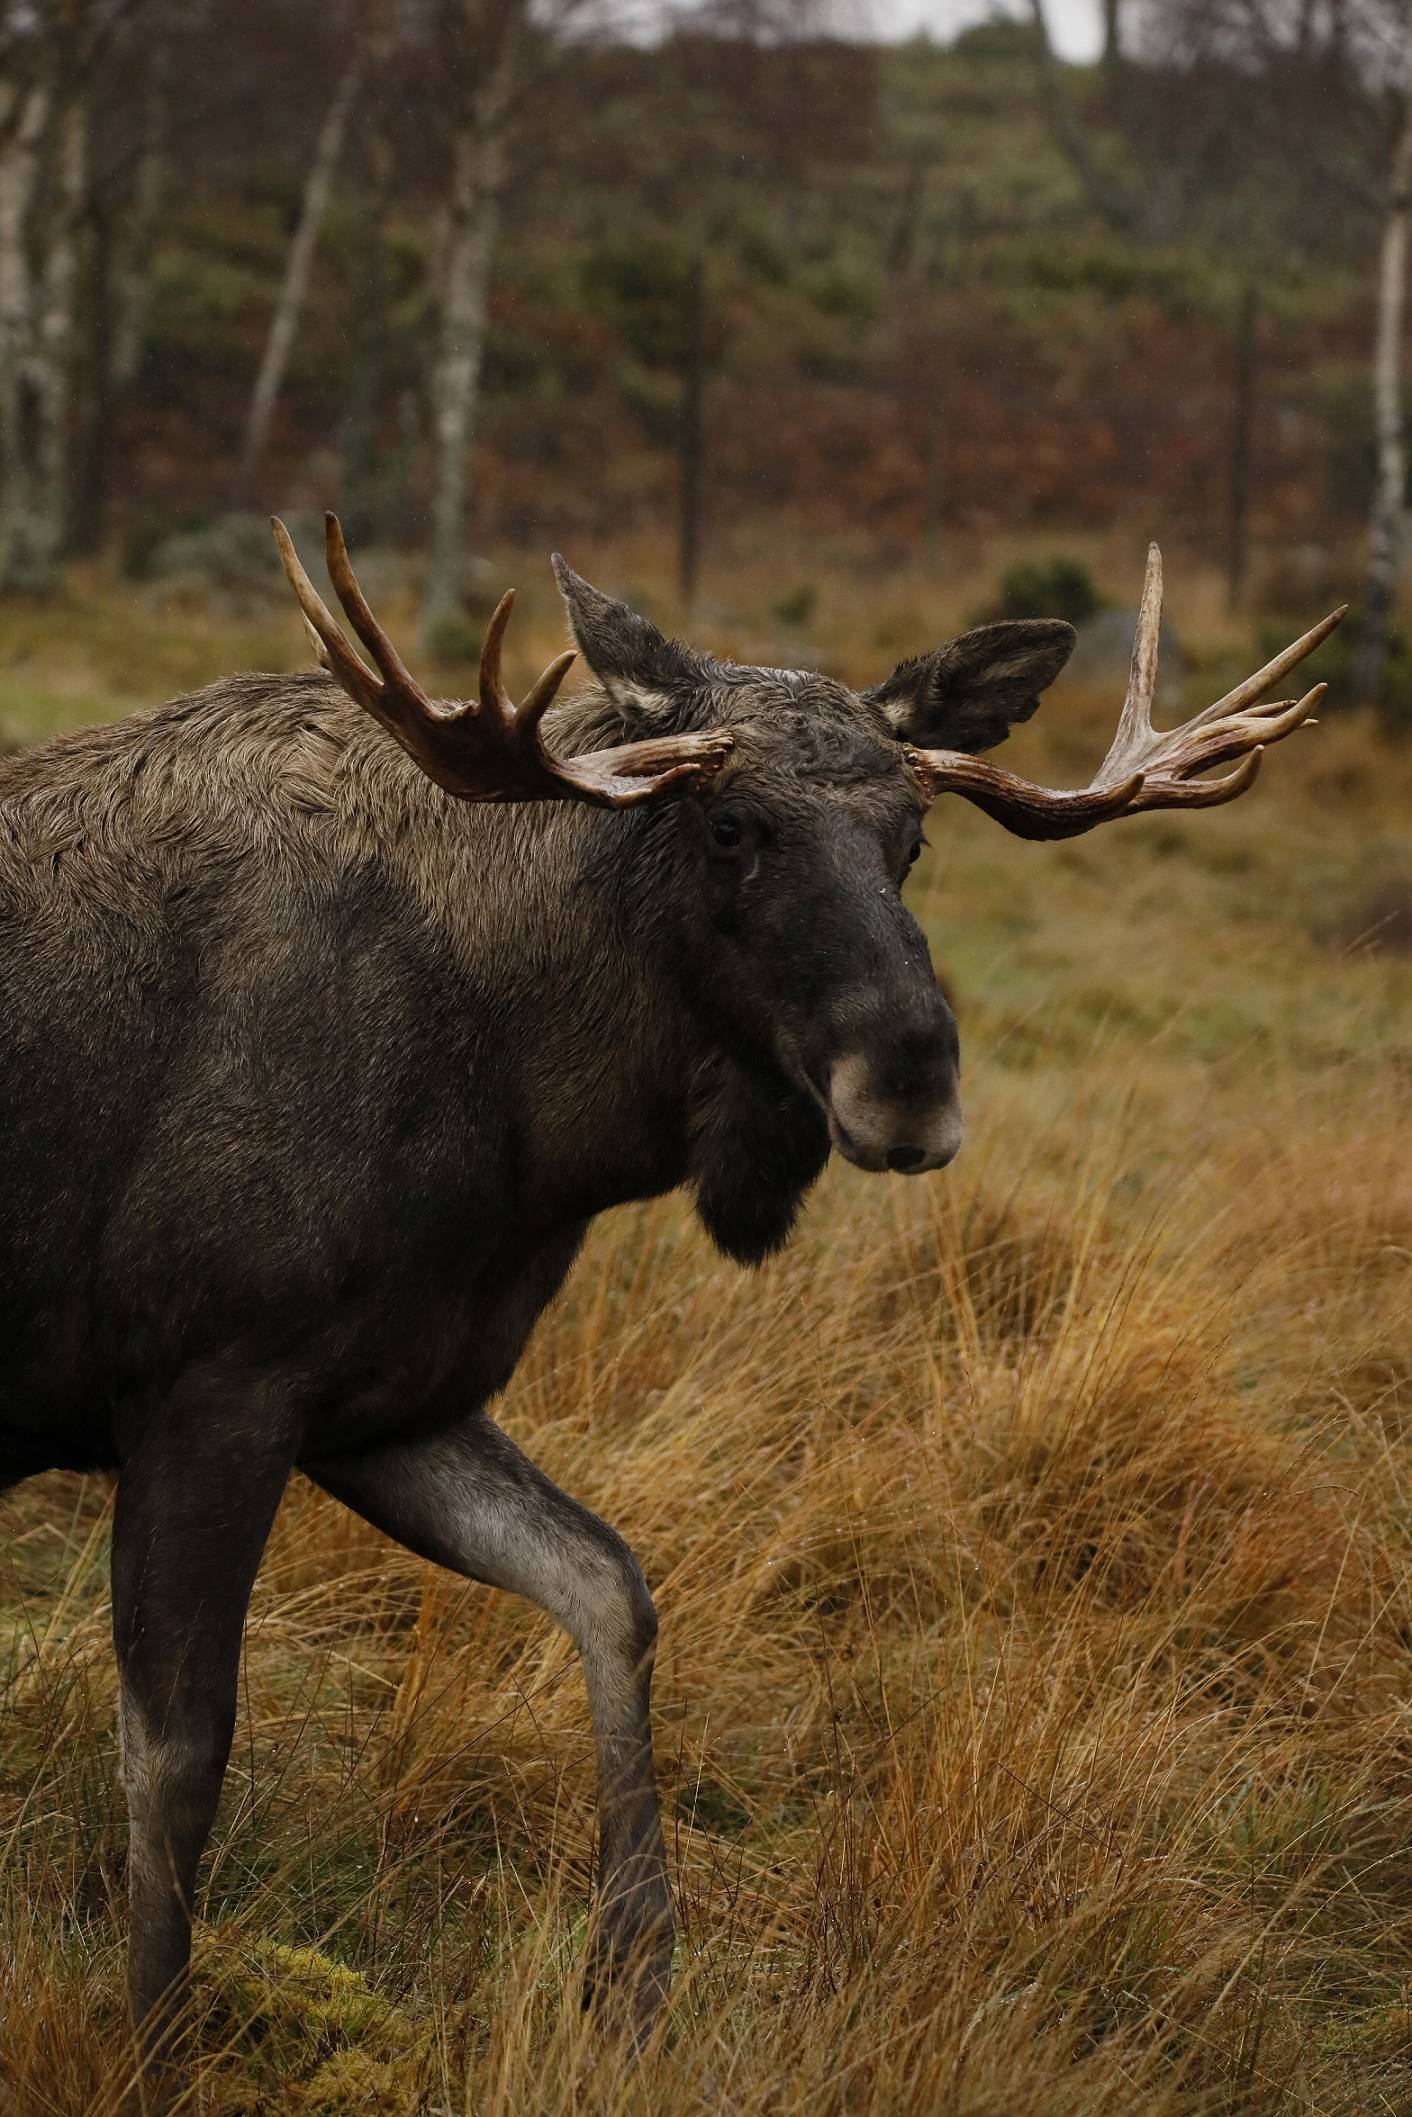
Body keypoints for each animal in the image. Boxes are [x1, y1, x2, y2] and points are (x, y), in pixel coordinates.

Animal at [0, 515, 1342, 2089]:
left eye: (912, 838)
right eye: (727, 827)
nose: (913, 1083)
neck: (535, 1130)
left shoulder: (387, 1396)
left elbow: (608, 1586)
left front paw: (633, 1972)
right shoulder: (211, 1375)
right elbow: (177, 1752)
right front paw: (152, 2041)